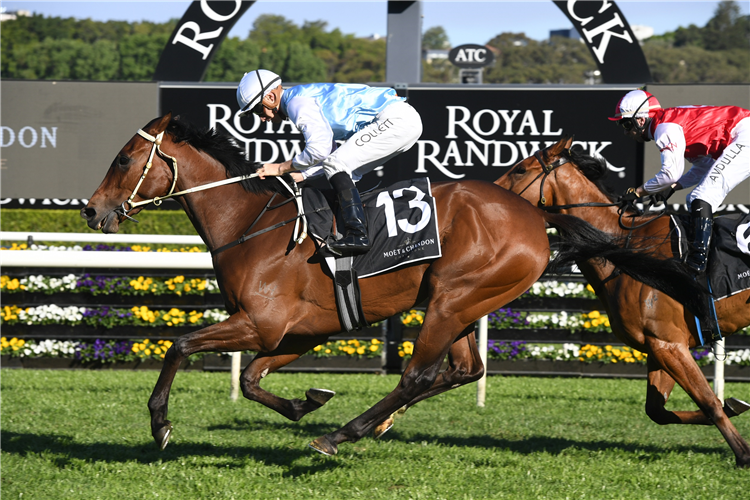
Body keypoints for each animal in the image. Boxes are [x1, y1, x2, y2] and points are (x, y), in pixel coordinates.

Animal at [81, 114, 712, 458]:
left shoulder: (261, 323)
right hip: (462, 303)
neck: (250, 225)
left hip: (455, 298)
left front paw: (160, 424)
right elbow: (254, 379)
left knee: (419, 374)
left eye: (123, 159)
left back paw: (344, 434)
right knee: (463, 369)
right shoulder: (293, 333)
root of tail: (535, 216)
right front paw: (306, 400)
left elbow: (180, 345)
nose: (90, 210)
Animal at [496, 135, 748, 466]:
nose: (491, 194)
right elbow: (657, 410)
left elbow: (708, 402)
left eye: (520, 170)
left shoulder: (670, 343)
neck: (628, 249)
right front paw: (734, 405)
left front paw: (743, 453)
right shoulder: (661, 345)